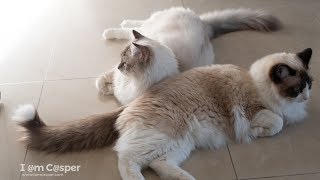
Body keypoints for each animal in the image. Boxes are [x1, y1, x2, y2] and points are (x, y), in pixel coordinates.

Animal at [12, 48, 312, 180]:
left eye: (310, 83)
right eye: (297, 88)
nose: (308, 96)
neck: (258, 83)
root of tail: (127, 106)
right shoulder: (255, 110)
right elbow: (277, 123)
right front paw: (260, 131)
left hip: (179, 142)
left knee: (157, 164)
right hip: (165, 136)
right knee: (128, 161)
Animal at [96, 7, 282, 105]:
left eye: (125, 63)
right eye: (121, 59)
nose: (119, 66)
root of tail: (206, 27)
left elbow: (112, 87)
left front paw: (108, 88)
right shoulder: (115, 74)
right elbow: (104, 79)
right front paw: (105, 85)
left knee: (133, 28)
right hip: (151, 26)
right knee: (134, 27)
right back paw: (114, 28)